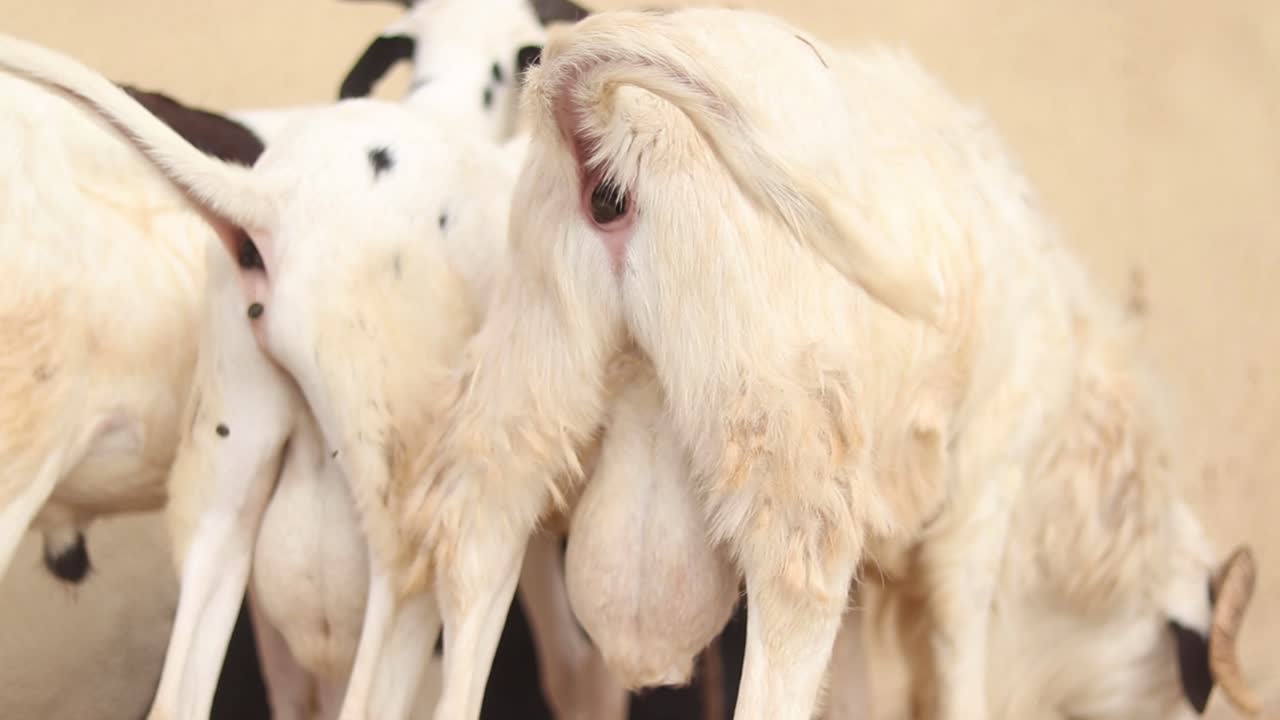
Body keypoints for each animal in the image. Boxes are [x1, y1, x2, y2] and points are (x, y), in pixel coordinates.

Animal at [333, 7, 1261, 720]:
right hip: (787, 466)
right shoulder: (977, 509)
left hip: (520, 396)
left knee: (465, 579)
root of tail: (607, 105)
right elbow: (959, 670)